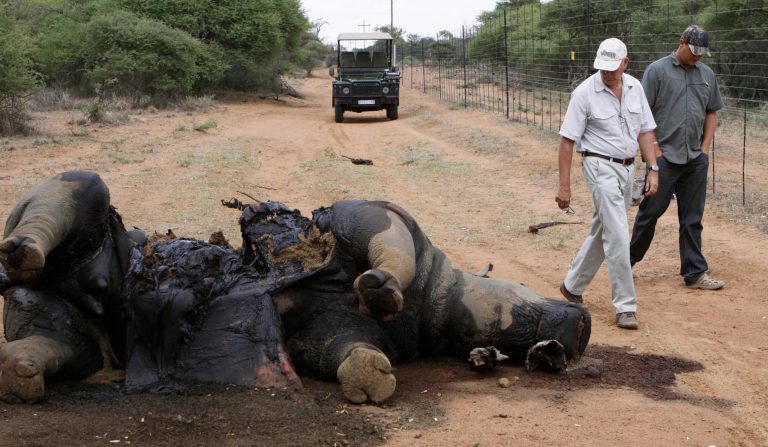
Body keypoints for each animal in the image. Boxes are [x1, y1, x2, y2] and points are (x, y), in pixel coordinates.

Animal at [0, 171, 591, 404]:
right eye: (521, 306)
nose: (580, 324)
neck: (434, 308)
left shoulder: (326, 333)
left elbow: (351, 355)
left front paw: (369, 375)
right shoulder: (377, 217)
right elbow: (386, 251)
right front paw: (380, 286)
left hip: (69, 332)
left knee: (53, 345)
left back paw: (20, 369)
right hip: (80, 197)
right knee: (67, 199)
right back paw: (19, 252)